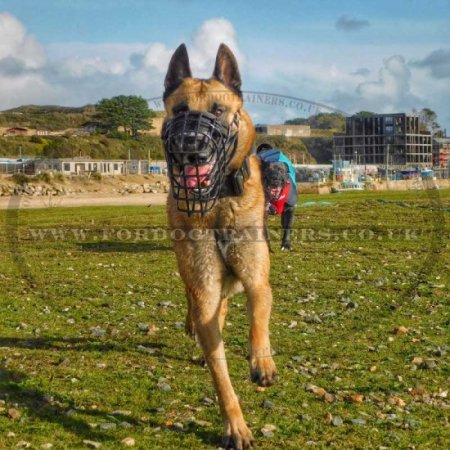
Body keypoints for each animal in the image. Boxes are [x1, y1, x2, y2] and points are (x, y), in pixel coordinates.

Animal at [162, 43, 274, 450]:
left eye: (218, 110)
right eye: (180, 111)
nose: (190, 143)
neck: (218, 201)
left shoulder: (258, 281)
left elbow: (259, 316)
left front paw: (262, 362)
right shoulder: (205, 287)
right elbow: (221, 376)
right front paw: (235, 426)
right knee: (198, 305)